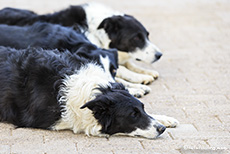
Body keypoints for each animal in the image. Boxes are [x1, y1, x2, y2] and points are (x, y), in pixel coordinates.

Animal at [0, 2, 162, 97]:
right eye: (136, 38)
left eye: (147, 36)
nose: (159, 55)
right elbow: (121, 71)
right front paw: (138, 81)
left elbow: (123, 67)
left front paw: (143, 74)